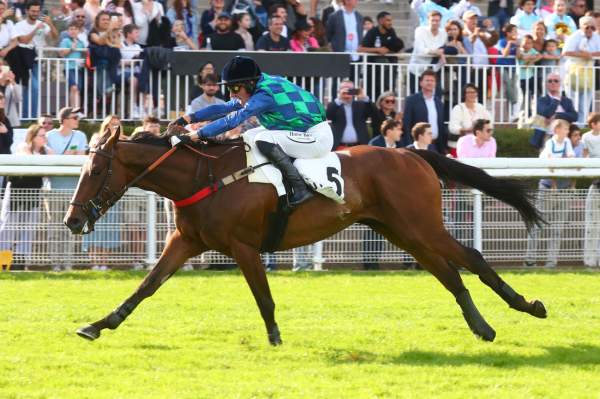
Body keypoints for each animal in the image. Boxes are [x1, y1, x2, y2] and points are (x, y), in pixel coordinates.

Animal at [65, 129, 548, 346]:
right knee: (450, 274)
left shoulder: (243, 246)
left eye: (96, 169)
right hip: (400, 231)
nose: (72, 220)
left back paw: (528, 306)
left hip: (420, 224)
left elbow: (263, 297)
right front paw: (98, 325)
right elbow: (147, 285)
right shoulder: (186, 241)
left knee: (471, 256)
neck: (205, 177)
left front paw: (276, 340)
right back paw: (481, 326)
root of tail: (411, 153)